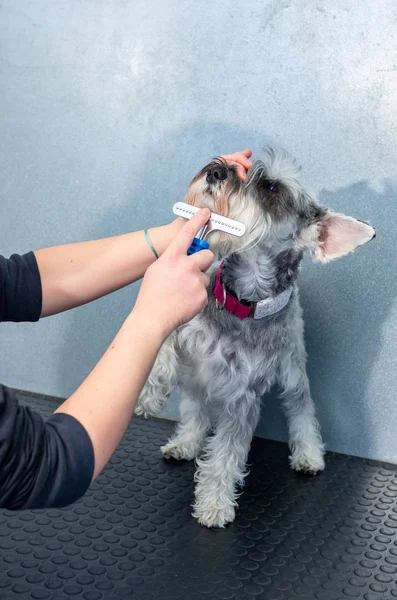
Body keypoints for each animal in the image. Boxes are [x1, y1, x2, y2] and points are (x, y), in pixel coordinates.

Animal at [135, 148, 374, 528]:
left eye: (272, 187)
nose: (216, 171)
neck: (240, 301)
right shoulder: (183, 325)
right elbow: (161, 347)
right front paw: (148, 395)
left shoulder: (241, 396)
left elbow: (226, 454)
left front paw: (214, 504)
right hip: (197, 377)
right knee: (196, 411)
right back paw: (185, 443)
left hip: (292, 370)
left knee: (302, 407)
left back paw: (309, 455)